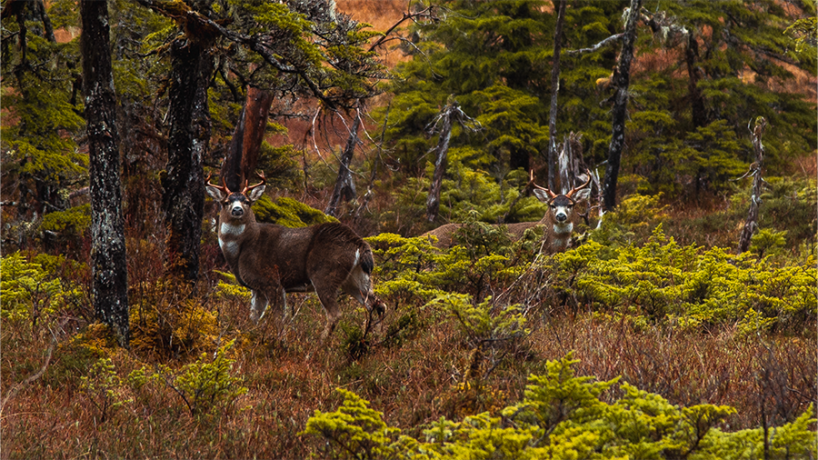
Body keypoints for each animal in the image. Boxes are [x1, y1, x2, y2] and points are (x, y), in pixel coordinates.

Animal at [206, 172, 386, 339]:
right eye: (226, 202)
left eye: (247, 201)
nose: (237, 209)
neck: (242, 249)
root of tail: (358, 243)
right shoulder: (257, 289)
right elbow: (254, 317)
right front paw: (250, 335)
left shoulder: (272, 281)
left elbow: (279, 318)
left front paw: (280, 342)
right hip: (356, 278)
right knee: (377, 304)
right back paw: (375, 340)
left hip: (325, 274)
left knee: (335, 314)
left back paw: (319, 346)